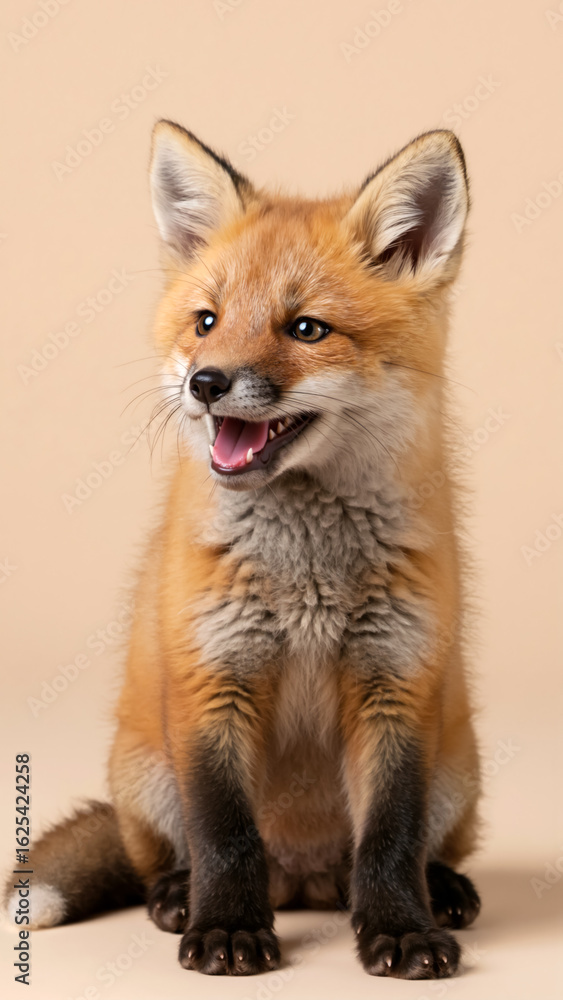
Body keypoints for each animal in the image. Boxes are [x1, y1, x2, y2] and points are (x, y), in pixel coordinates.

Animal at [5, 123, 481, 979]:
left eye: (306, 329)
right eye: (206, 321)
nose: (206, 382)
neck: (307, 581)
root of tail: (305, 877)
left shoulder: (395, 683)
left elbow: (390, 838)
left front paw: (399, 928)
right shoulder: (213, 677)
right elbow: (224, 833)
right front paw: (225, 927)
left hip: (458, 766)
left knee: (409, 850)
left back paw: (441, 889)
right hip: (144, 769)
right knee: (168, 856)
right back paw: (176, 897)